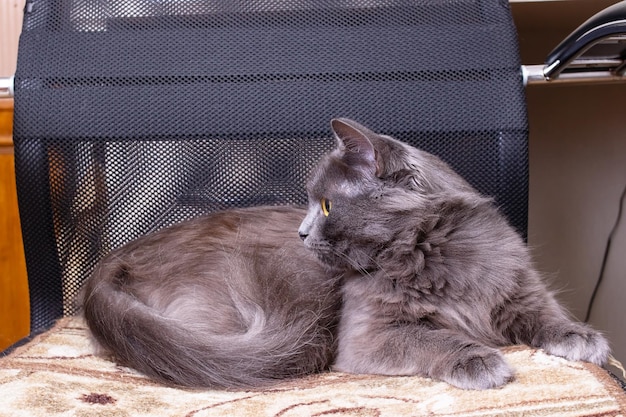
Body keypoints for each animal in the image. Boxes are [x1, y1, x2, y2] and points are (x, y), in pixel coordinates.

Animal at [80, 117, 608, 390]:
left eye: (328, 205)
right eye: (312, 203)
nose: (300, 233)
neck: (437, 255)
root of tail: (112, 262)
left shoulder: (520, 290)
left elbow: (548, 316)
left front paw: (583, 339)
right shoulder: (368, 335)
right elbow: (432, 338)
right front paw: (479, 361)